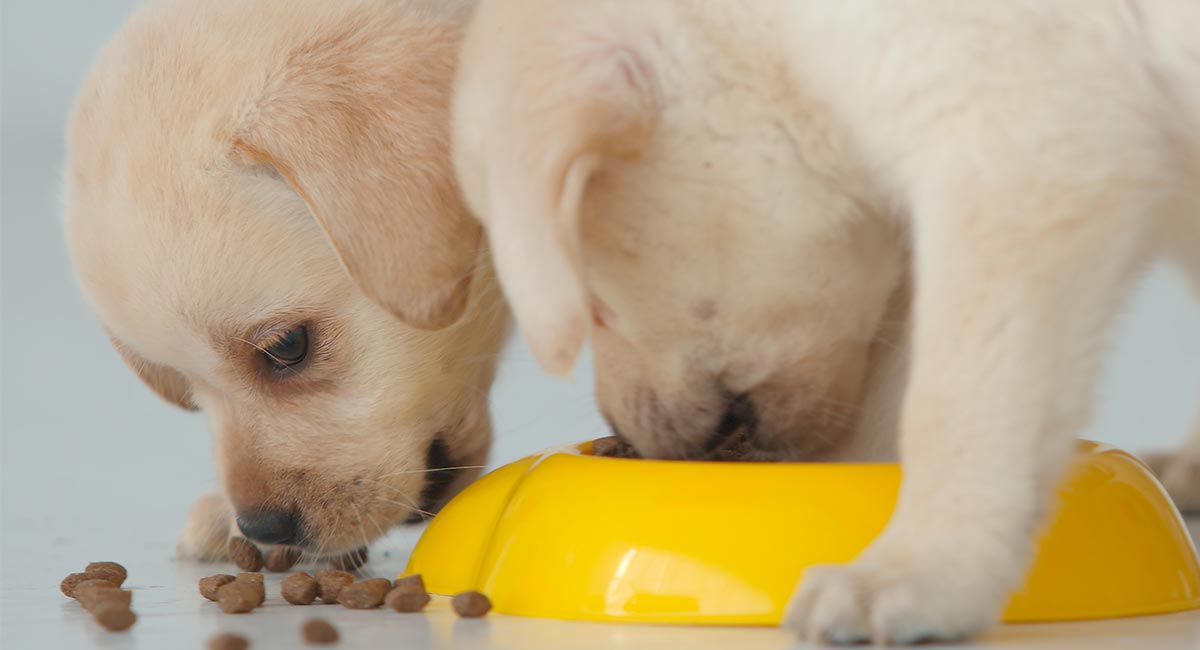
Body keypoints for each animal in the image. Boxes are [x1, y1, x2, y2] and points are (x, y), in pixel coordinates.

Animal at [451, 0, 1200, 642]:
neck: (790, 33)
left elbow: (955, 405)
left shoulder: (1018, 157)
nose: (627, 438)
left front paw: (915, 570)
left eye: (598, 304)